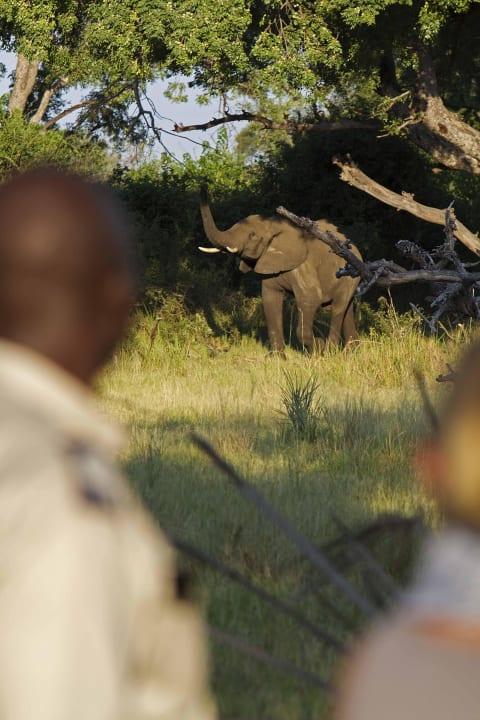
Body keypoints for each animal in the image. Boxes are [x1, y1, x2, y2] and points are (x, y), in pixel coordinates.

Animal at [198, 187, 362, 356]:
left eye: (252, 235)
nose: (203, 186)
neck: (276, 226)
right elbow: (270, 299)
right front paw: (279, 358)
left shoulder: (302, 264)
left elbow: (310, 298)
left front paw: (319, 347)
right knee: (347, 309)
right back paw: (352, 351)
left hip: (350, 276)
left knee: (338, 308)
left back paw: (331, 351)